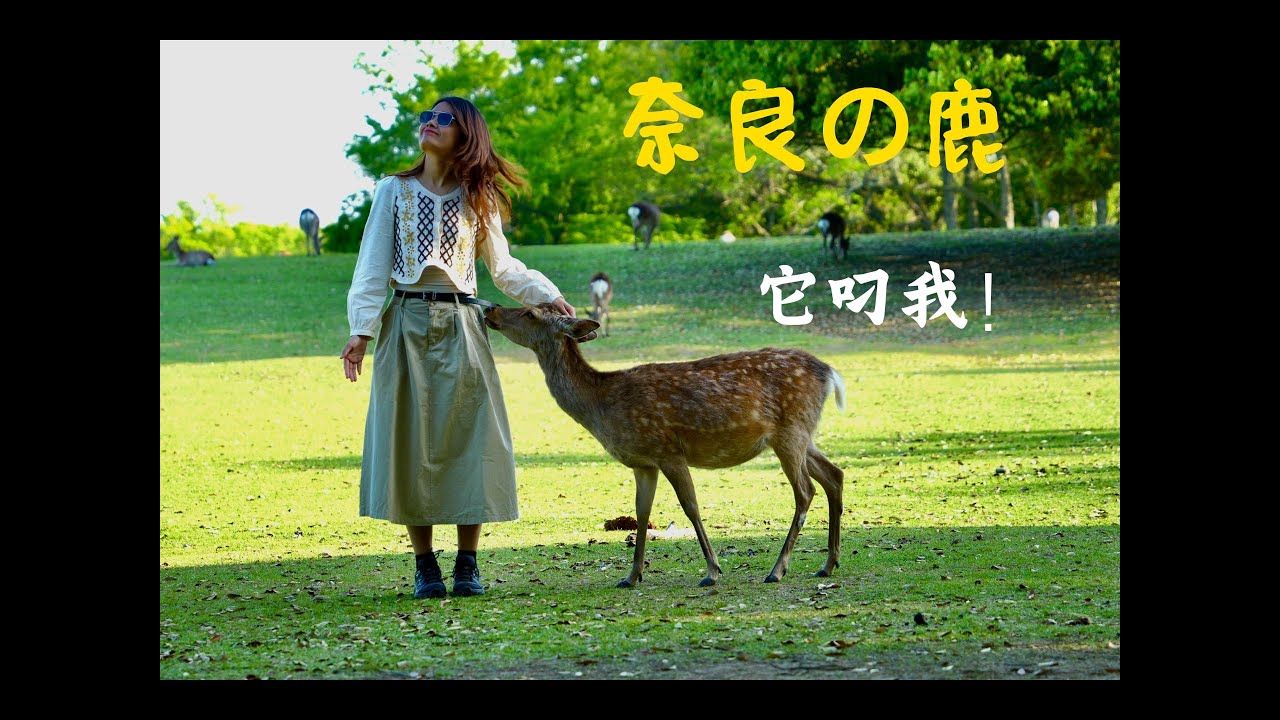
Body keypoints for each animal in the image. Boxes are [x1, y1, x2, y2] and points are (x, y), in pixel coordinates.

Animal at [482, 303, 848, 589]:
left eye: (530, 313)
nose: (491, 309)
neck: (602, 405)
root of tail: (829, 372)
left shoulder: (668, 449)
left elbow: (691, 506)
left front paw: (712, 571)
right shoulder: (643, 462)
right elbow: (641, 513)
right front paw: (631, 576)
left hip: (790, 432)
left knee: (805, 491)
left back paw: (777, 569)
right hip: (802, 434)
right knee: (834, 474)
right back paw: (827, 564)